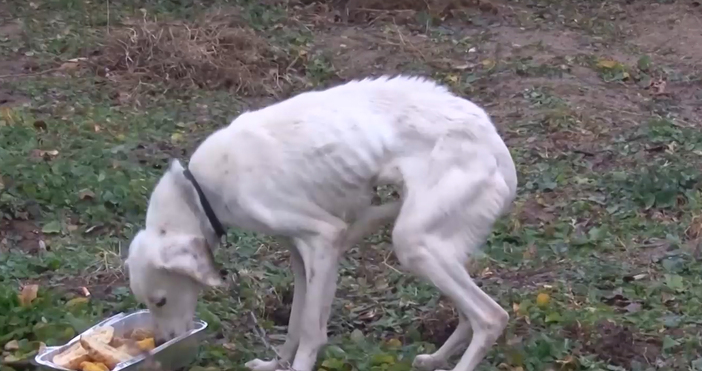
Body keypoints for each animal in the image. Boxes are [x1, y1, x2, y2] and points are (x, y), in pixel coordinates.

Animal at [126, 75, 520, 371]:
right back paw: (436, 358)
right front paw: (275, 364)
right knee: (469, 315)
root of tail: (498, 149)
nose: (160, 345)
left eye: (160, 301)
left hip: (414, 244)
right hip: (440, 248)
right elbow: (296, 321)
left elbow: (311, 330)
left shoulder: (324, 238)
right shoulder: (304, 255)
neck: (200, 190)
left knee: (491, 317)